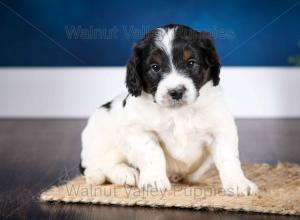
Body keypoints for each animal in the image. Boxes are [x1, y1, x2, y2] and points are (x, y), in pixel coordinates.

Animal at [79, 24, 258, 196]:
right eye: (155, 67)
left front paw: (238, 183)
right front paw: (154, 181)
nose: (176, 92)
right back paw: (126, 173)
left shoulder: (221, 128)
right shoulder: (138, 129)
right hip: (104, 137)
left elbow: (228, 158)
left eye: (191, 63)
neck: (179, 112)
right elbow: (153, 153)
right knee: (102, 165)